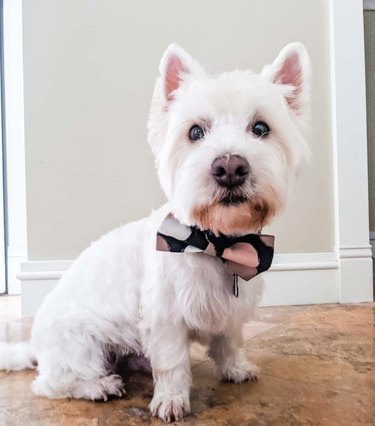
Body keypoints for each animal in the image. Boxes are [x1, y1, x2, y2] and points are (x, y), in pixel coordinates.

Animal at [0, 41, 312, 422]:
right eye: (195, 132)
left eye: (261, 128)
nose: (229, 168)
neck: (216, 242)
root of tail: (36, 346)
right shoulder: (166, 316)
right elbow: (173, 363)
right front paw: (171, 401)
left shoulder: (229, 311)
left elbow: (229, 341)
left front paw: (236, 369)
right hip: (80, 343)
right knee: (53, 383)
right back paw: (100, 386)